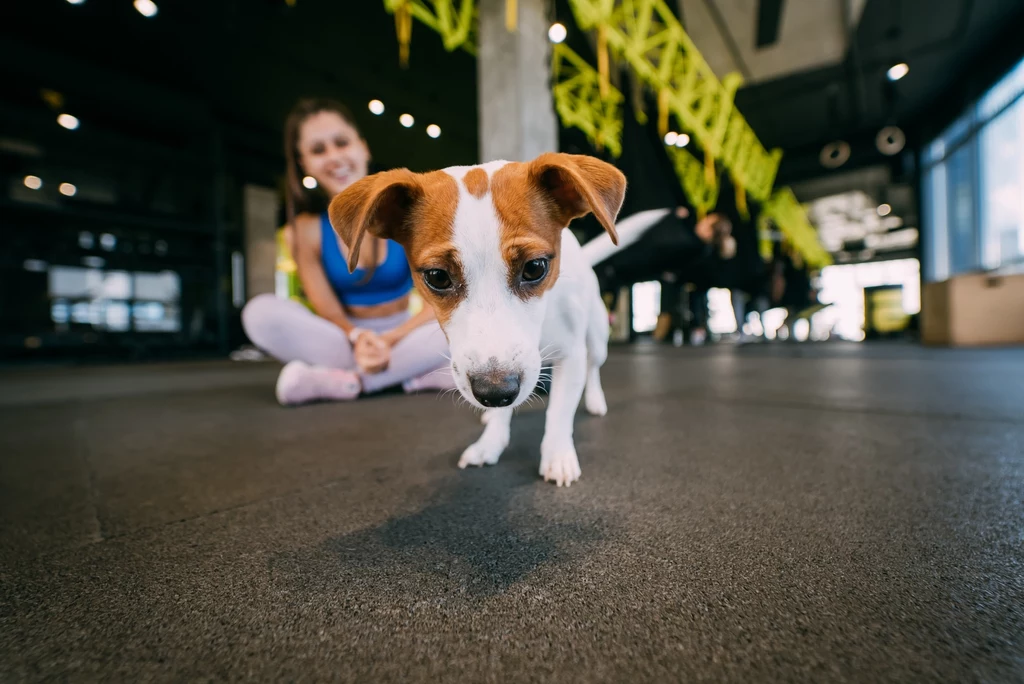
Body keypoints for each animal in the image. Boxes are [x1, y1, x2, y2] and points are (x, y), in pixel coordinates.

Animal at [327, 153, 663, 485]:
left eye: (535, 267)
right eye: (437, 277)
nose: (495, 392)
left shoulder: (569, 355)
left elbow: (559, 412)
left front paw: (557, 455)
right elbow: (504, 411)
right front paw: (491, 440)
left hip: (596, 337)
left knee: (594, 367)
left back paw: (594, 400)